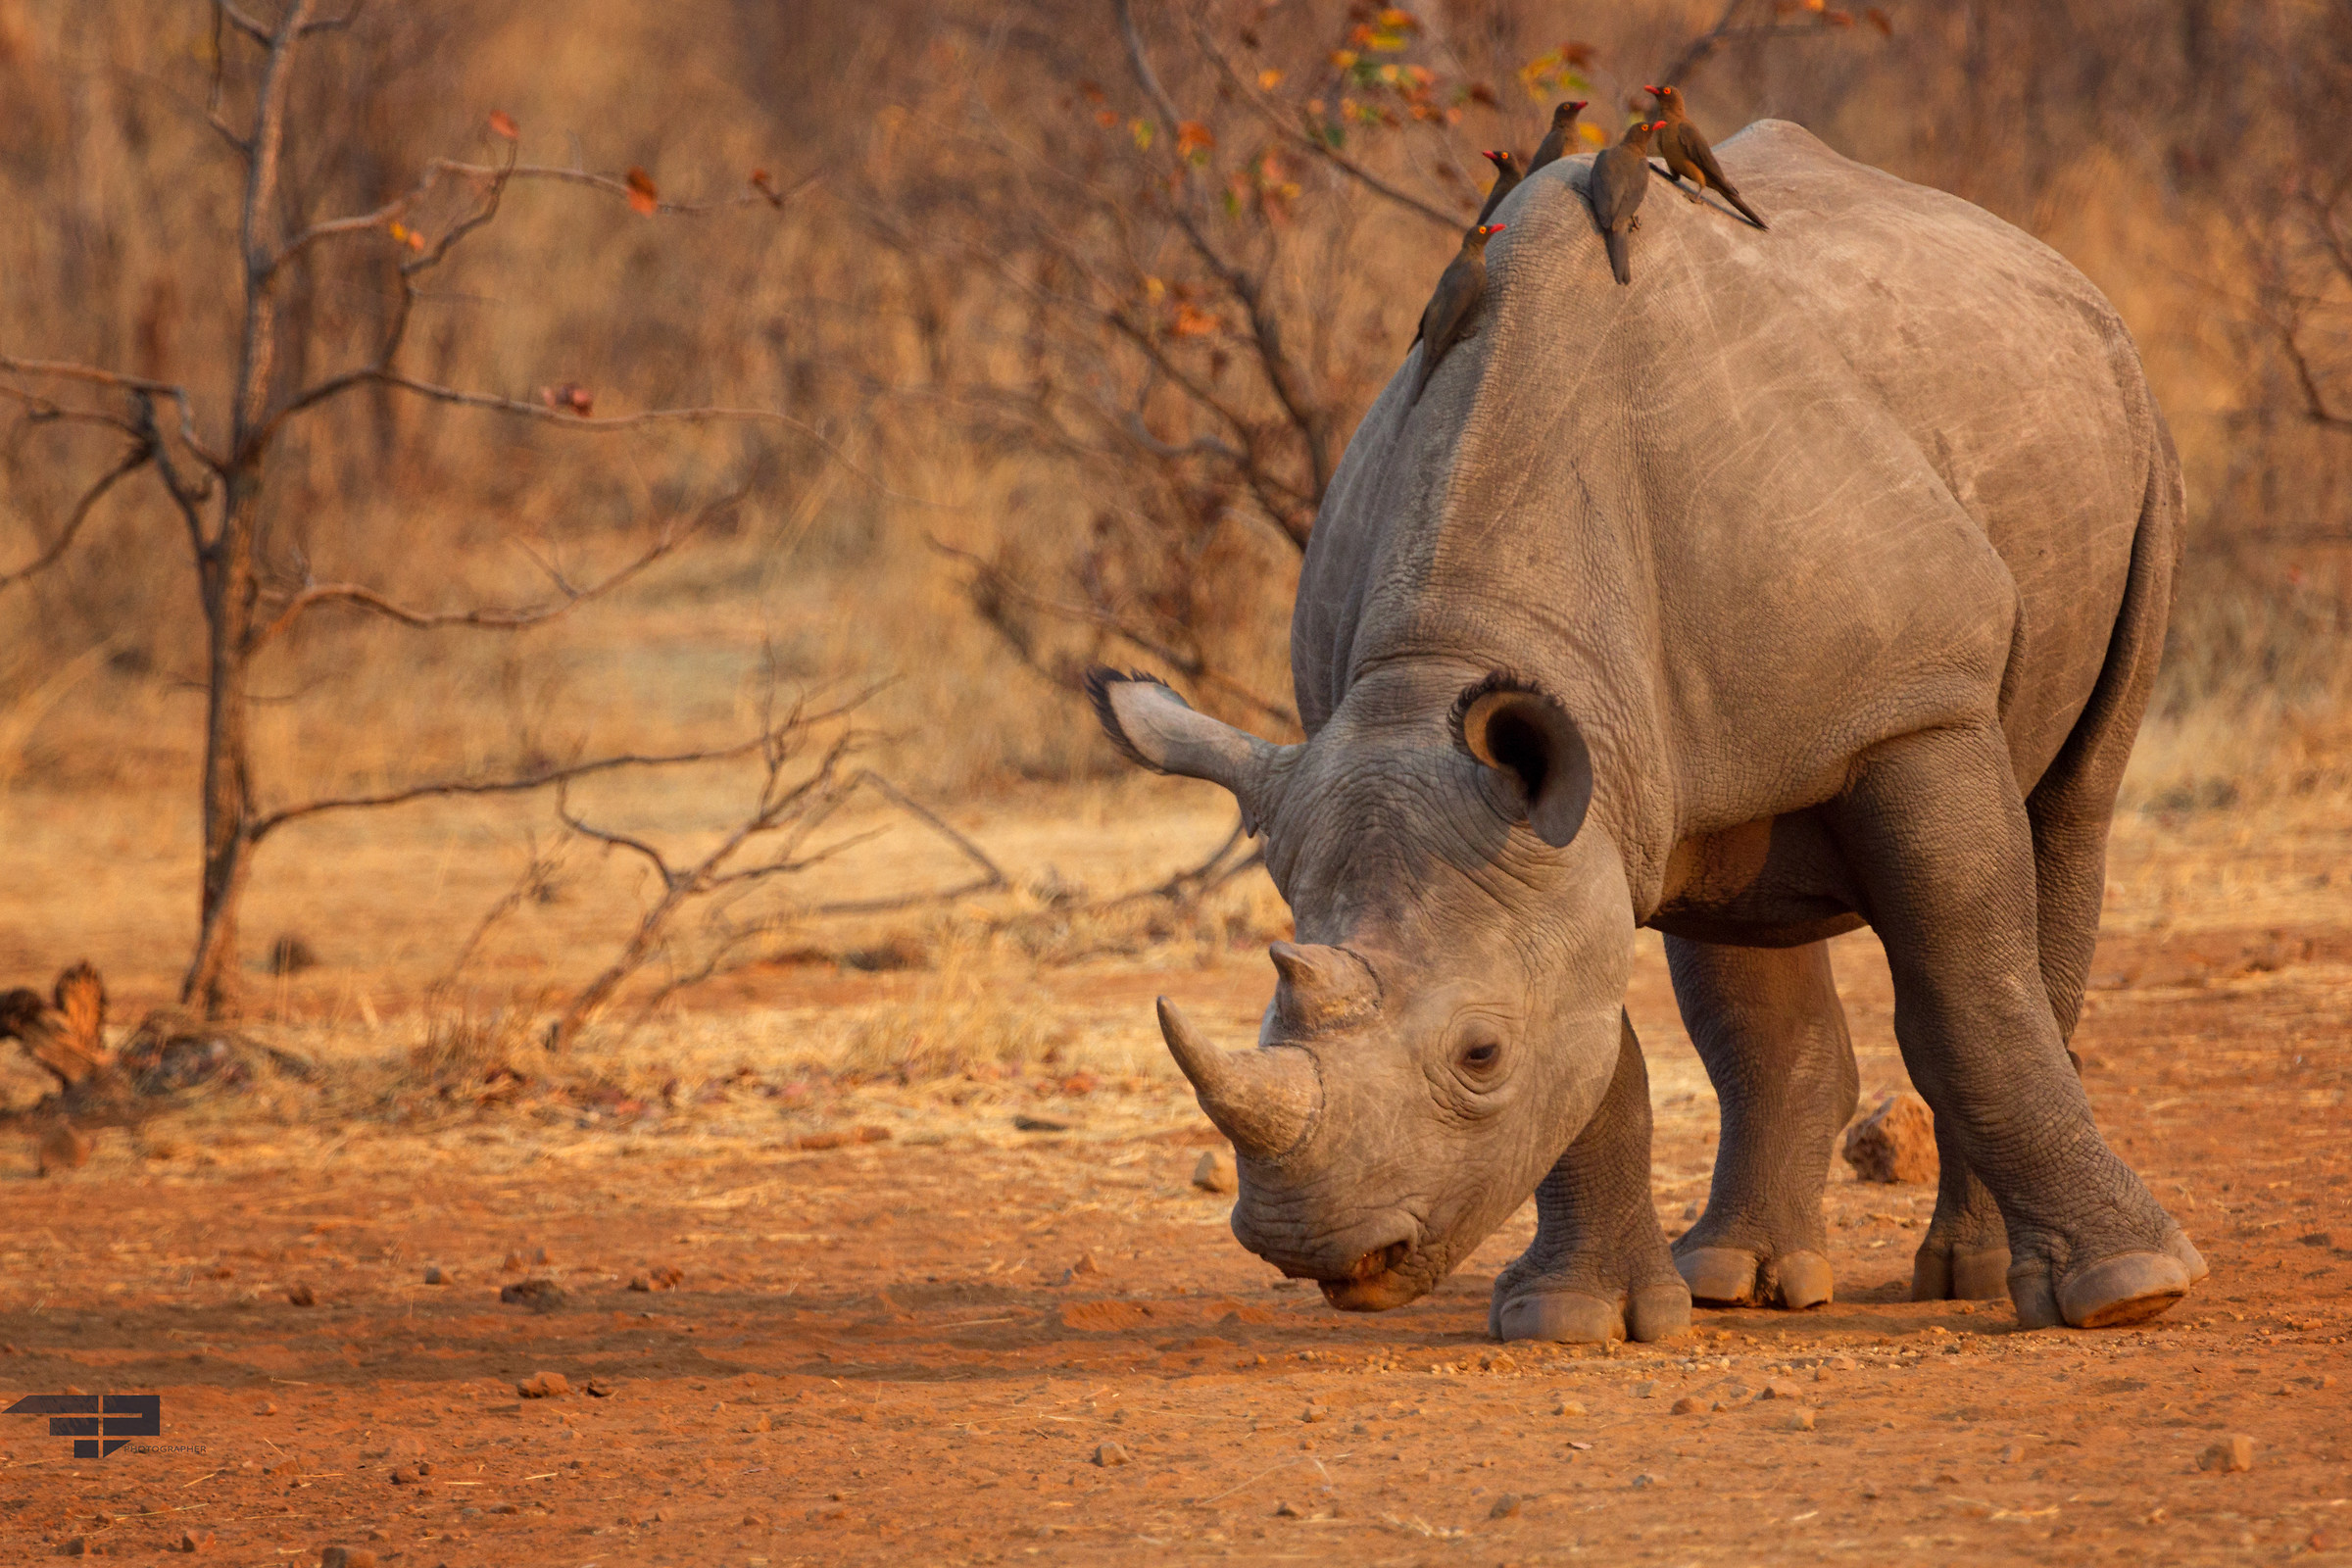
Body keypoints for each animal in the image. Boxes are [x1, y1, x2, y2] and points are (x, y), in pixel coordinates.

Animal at [1085, 121, 2205, 1341]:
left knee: (2067, 819)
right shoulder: (1563, 807)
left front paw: (2130, 1291)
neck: (1442, 657)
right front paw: (1572, 1318)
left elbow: (1967, 1000)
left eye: (1480, 1055)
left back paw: (1977, 1276)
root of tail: (2053, 269)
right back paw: (1735, 1278)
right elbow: (1600, 1045)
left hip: (2134, 440)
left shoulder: (1916, 704)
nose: (1318, 1248)